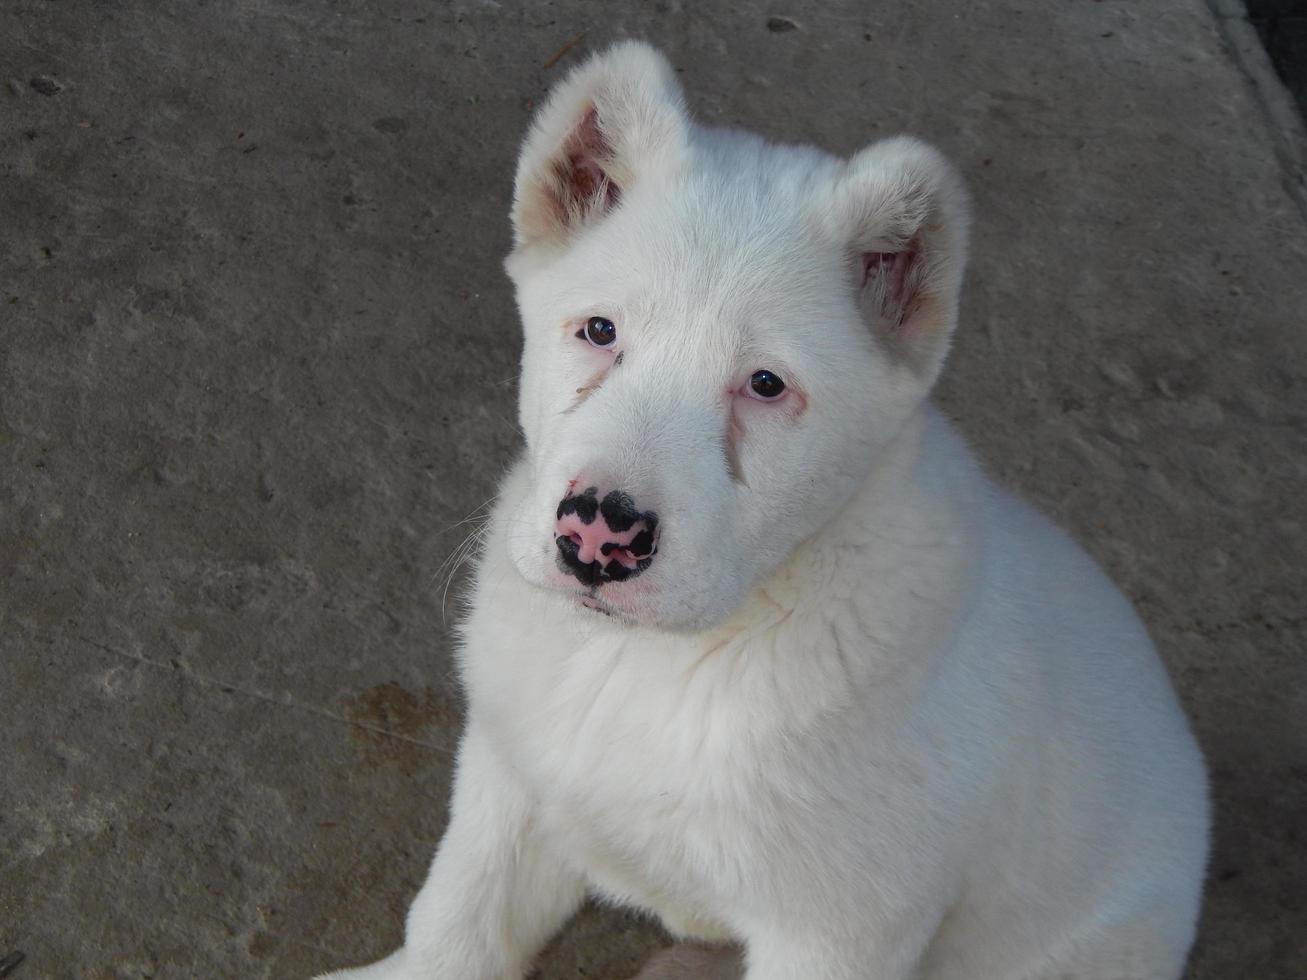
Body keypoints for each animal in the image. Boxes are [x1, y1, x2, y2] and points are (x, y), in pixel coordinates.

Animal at [321, 40, 1207, 980]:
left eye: (766, 385)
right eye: (599, 331)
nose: (596, 535)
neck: (652, 660)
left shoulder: (838, 930)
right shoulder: (510, 779)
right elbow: (457, 921)